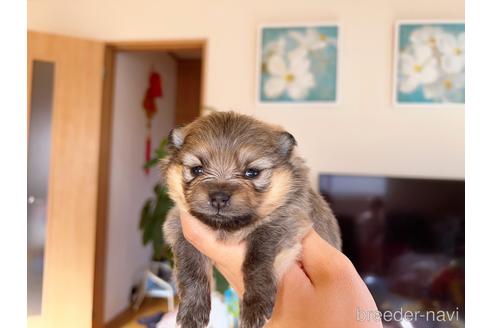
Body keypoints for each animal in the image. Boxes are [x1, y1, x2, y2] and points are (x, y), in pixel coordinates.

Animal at [161, 111, 338, 328]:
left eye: (252, 172)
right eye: (197, 170)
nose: (219, 197)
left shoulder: (283, 222)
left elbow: (256, 260)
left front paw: (255, 306)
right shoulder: (180, 229)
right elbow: (191, 270)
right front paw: (192, 311)